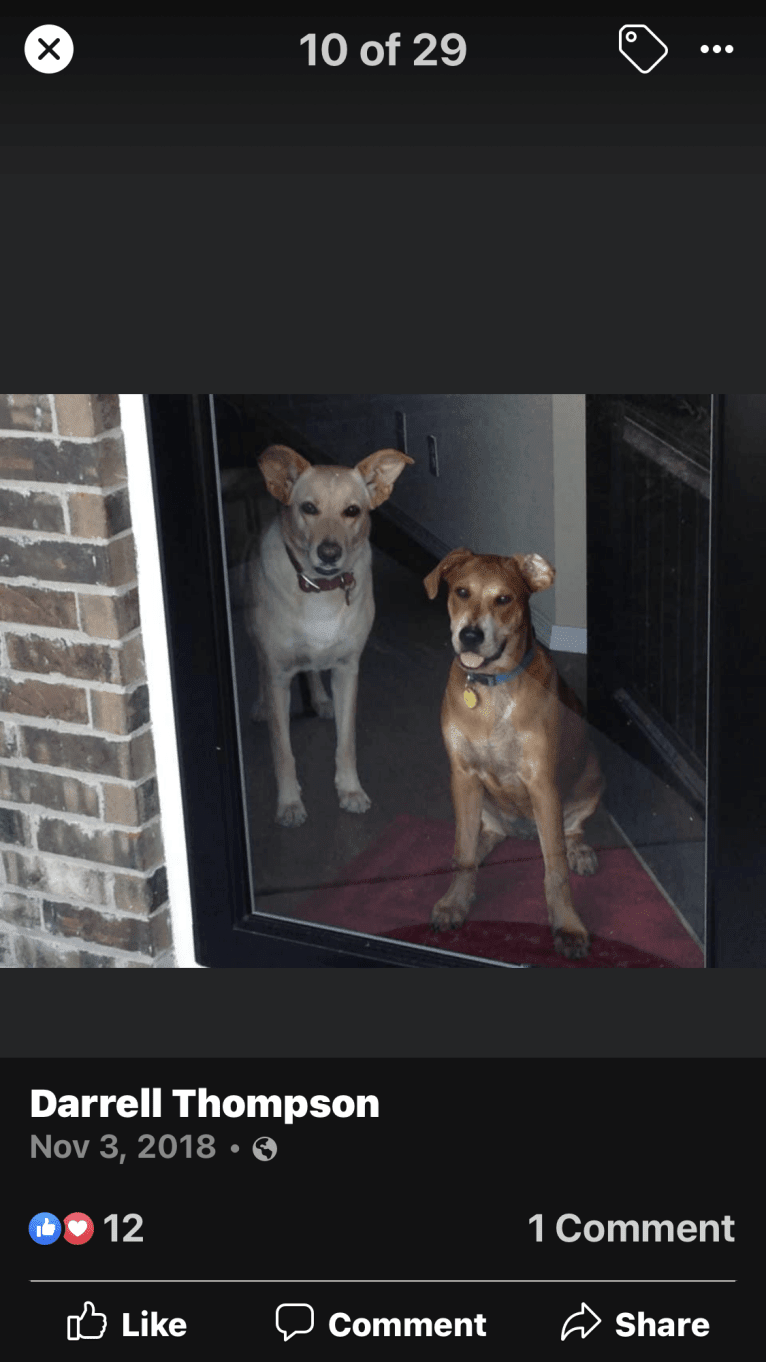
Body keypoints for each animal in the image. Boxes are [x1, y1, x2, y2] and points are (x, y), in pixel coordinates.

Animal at [243, 446, 411, 822]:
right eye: (308, 508)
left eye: (352, 511)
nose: (330, 553)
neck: (320, 588)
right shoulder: (279, 676)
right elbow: (283, 751)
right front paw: (289, 802)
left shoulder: (347, 669)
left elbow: (346, 743)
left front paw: (350, 789)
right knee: (259, 659)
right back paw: (259, 704)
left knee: (312, 669)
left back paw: (320, 699)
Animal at [422, 544, 602, 958]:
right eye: (462, 592)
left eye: (504, 599)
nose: (470, 636)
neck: (491, 688)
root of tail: (522, 831)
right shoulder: (463, 775)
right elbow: (464, 853)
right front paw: (456, 902)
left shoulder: (543, 784)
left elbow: (556, 869)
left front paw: (567, 926)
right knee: (482, 835)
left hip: (592, 777)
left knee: (573, 830)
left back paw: (581, 852)